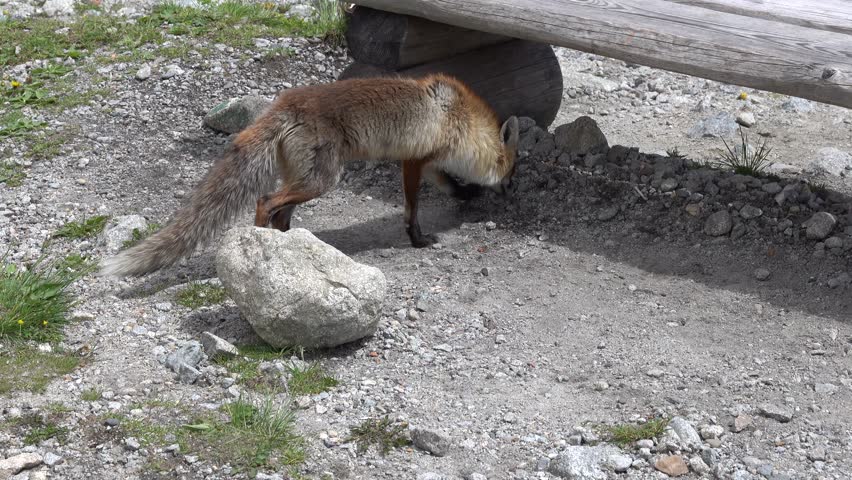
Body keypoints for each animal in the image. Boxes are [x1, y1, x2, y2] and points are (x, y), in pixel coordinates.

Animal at [98, 73, 520, 277]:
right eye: (512, 171)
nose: (511, 191)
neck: (457, 116)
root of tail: (285, 103)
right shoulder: (415, 162)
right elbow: (412, 210)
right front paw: (417, 240)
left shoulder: (424, 162)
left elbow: (448, 185)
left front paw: (467, 196)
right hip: (321, 180)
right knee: (264, 201)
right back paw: (261, 245)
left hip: (303, 180)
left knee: (281, 213)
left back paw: (290, 247)